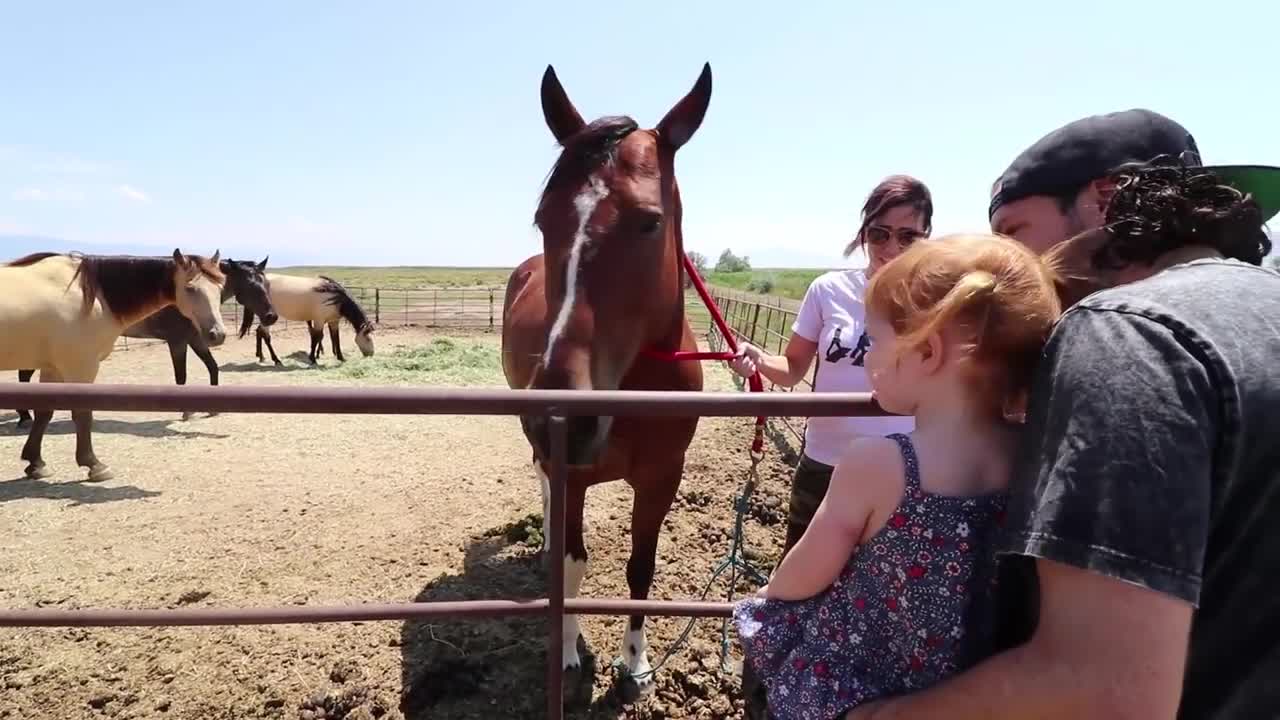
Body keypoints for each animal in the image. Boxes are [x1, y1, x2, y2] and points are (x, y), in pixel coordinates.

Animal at [0, 249, 227, 479]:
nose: (217, 334)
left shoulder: (53, 368)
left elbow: (44, 412)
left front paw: (36, 463)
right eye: (190, 288)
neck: (91, 297)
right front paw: (94, 464)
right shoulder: (81, 366)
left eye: (220, 287)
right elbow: (82, 414)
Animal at [13, 254, 279, 422]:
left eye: (265, 282)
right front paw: (186, 413)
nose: (272, 316)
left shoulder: (197, 339)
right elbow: (181, 377)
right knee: (23, 375)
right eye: (252, 285)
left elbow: (212, 367)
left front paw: (213, 409)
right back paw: (25, 416)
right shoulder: (178, 341)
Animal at [239, 271, 373, 366]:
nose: (371, 354)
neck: (334, 297)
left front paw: (340, 357)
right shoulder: (319, 320)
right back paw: (276, 360)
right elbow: (316, 337)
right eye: (368, 338)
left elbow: (335, 338)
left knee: (259, 332)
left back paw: (261, 356)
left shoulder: (333, 321)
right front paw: (313, 359)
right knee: (266, 336)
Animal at [499, 63, 716, 696]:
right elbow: (572, 565)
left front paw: (635, 663)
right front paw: (570, 653)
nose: (561, 415)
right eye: (544, 220)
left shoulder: (663, 477)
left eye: (650, 223)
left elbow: (640, 567)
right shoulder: (571, 472)